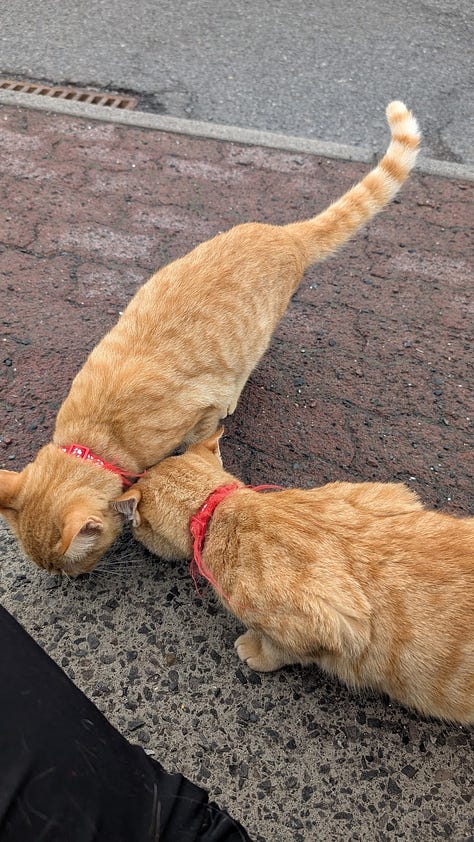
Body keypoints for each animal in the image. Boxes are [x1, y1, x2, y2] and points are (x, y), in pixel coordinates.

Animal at [0, 97, 422, 572]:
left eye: (71, 564)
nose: (71, 580)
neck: (95, 436)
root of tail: (284, 234)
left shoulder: (202, 408)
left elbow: (197, 440)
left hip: (254, 343)